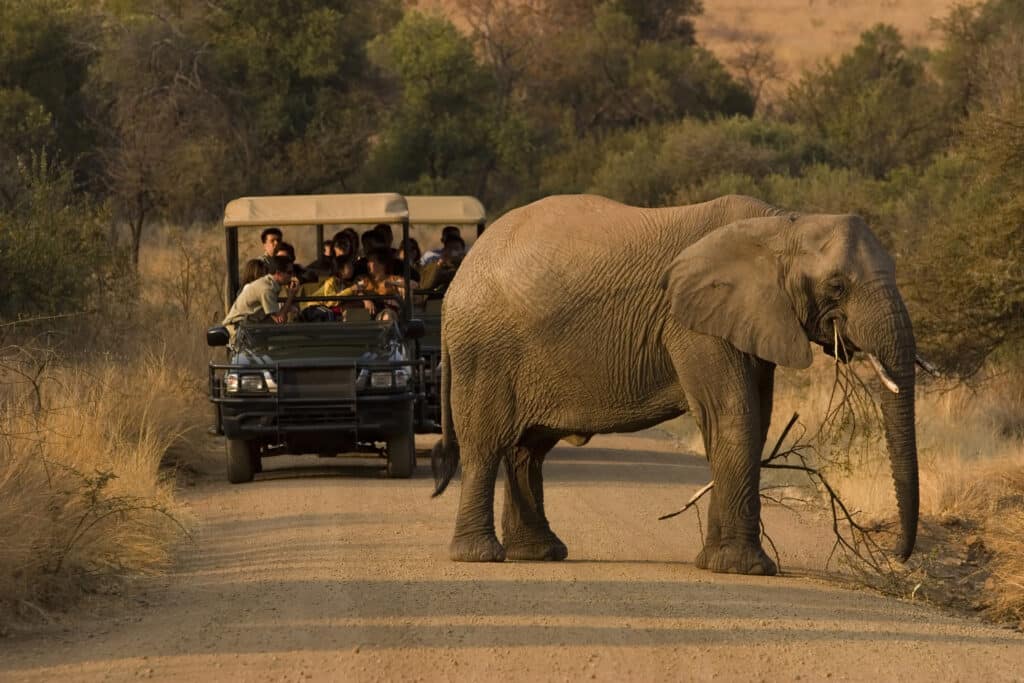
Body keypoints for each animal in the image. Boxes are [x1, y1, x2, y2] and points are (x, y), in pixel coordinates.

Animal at [428, 193, 917, 577]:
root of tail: (455, 285)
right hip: (484, 352)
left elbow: (754, 422)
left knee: (527, 450)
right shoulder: (692, 324)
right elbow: (732, 414)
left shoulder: (747, 318)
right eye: (837, 287)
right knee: (485, 445)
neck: (782, 223)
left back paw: (539, 554)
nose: (897, 555)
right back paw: (481, 556)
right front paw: (745, 568)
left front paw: (716, 562)